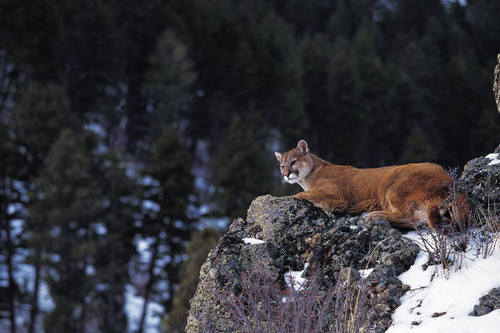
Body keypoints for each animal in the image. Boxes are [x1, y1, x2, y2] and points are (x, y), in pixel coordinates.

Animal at [276, 138, 470, 228]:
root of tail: (448, 177)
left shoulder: (337, 196)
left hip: (393, 185)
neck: (310, 174)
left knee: (409, 218)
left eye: (293, 162)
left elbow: (303, 194)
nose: (285, 174)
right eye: (281, 165)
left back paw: (373, 215)